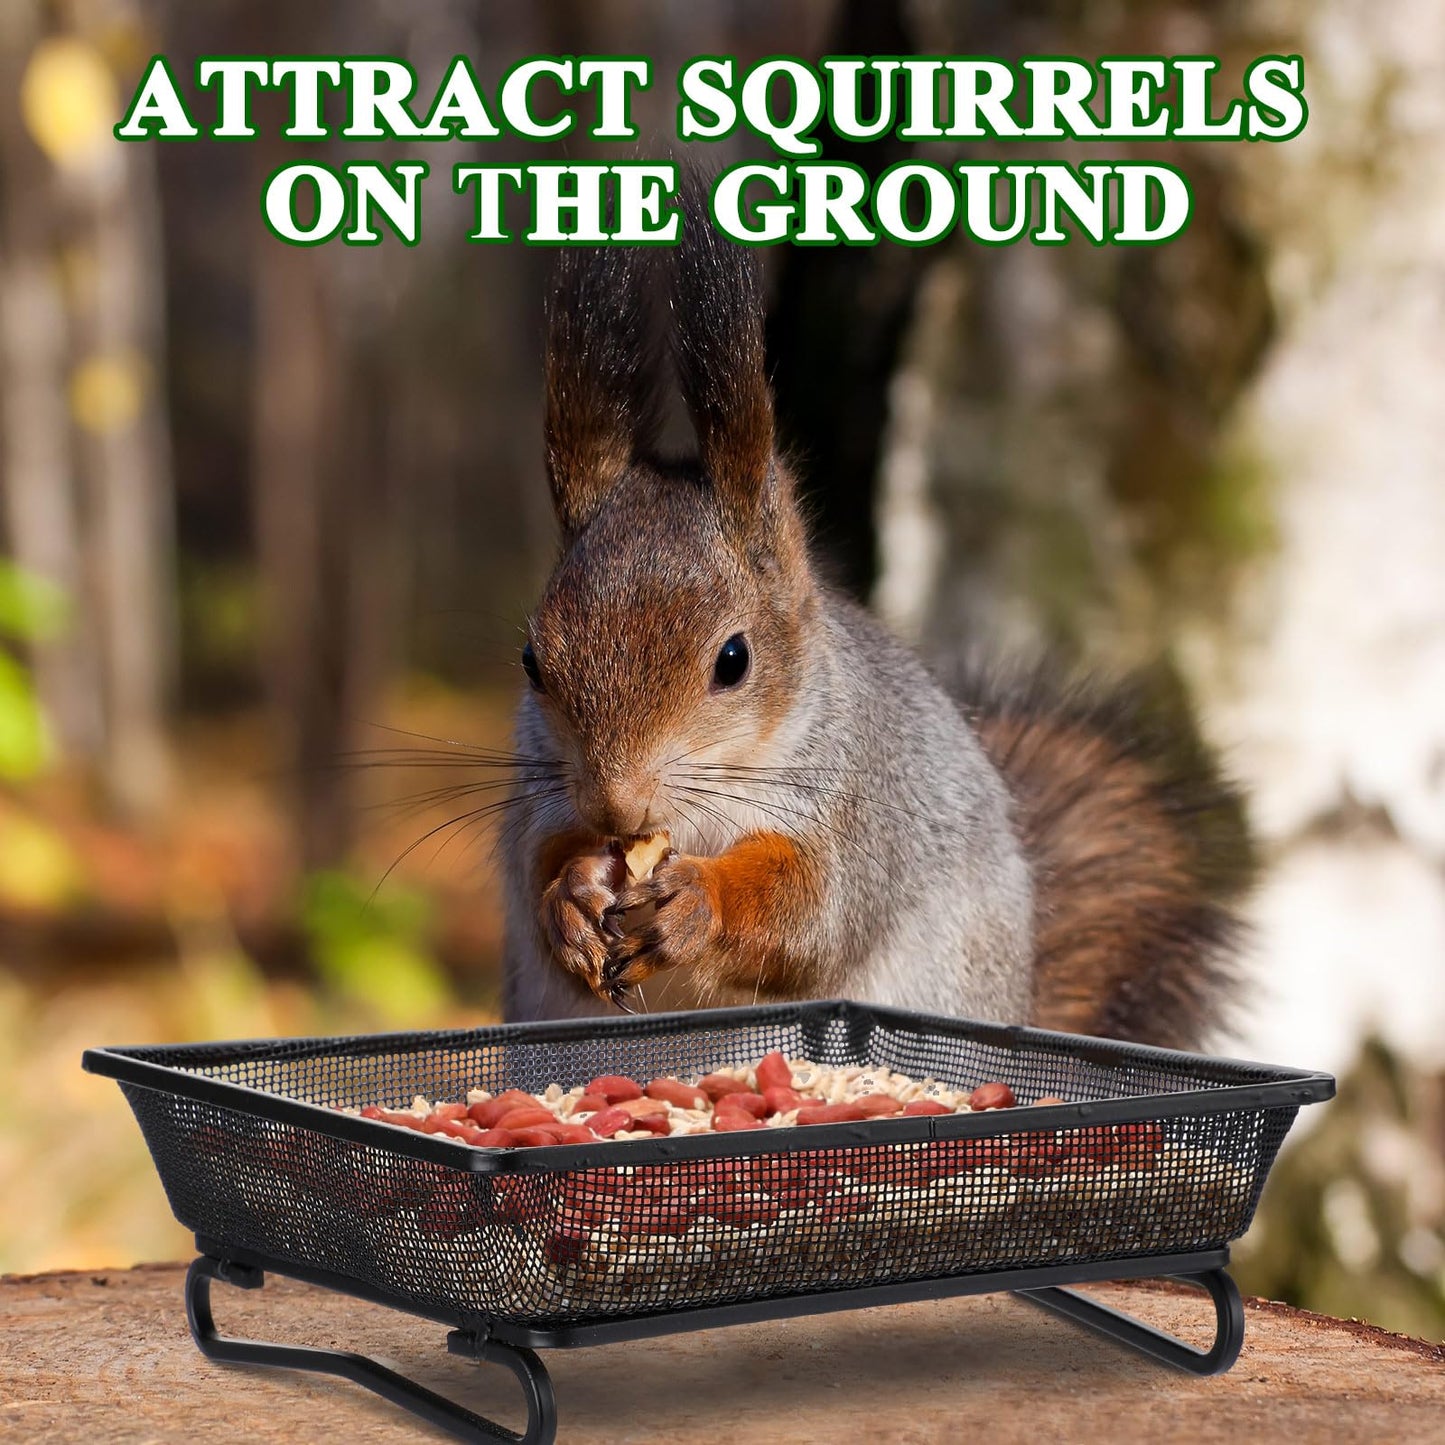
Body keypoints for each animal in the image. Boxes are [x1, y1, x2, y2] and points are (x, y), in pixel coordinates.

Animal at [501, 190, 1256, 1052]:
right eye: (531, 661)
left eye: (734, 660)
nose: (616, 807)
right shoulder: (539, 797)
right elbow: (538, 864)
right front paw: (572, 894)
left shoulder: (859, 810)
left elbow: (812, 909)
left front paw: (696, 903)